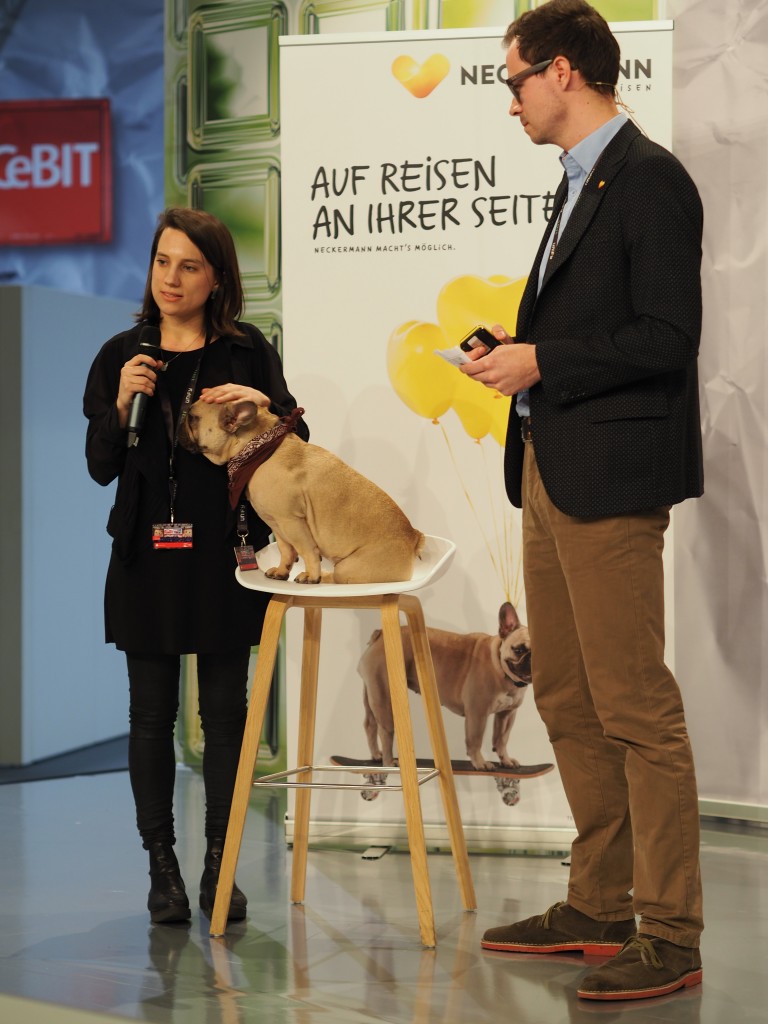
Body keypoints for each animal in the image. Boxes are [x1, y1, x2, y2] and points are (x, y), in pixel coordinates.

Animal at [177, 393, 423, 585]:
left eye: (193, 418)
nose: (180, 421)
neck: (257, 448)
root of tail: (413, 538)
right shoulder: (278, 524)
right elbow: (286, 550)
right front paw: (281, 571)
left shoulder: (292, 522)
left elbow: (307, 550)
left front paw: (311, 576)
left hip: (349, 569)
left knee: (339, 576)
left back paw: (323, 577)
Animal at [358, 598, 532, 798]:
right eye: (519, 650)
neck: (501, 669)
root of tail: (379, 635)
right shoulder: (477, 713)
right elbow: (475, 740)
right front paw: (480, 763)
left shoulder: (507, 714)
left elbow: (502, 739)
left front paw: (506, 760)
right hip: (384, 697)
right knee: (385, 731)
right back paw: (388, 762)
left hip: (371, 693)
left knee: (370, 724)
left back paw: (376, 755)